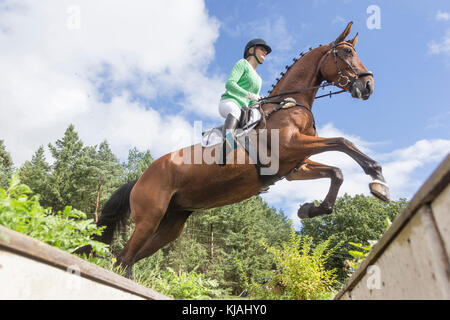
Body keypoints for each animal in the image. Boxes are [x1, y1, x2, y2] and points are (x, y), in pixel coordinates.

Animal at [77, 22, 390, 278]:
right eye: (346, 53)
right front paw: (378, 180)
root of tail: (140, 177)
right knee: (123, 258)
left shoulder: (295, 166)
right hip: (149, 217)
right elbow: (343, 142)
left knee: (129, 259)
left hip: (171, 223)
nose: (368, 85)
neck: (289, 105)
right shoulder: (291, 147)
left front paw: (310, 209)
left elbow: (336, 171)